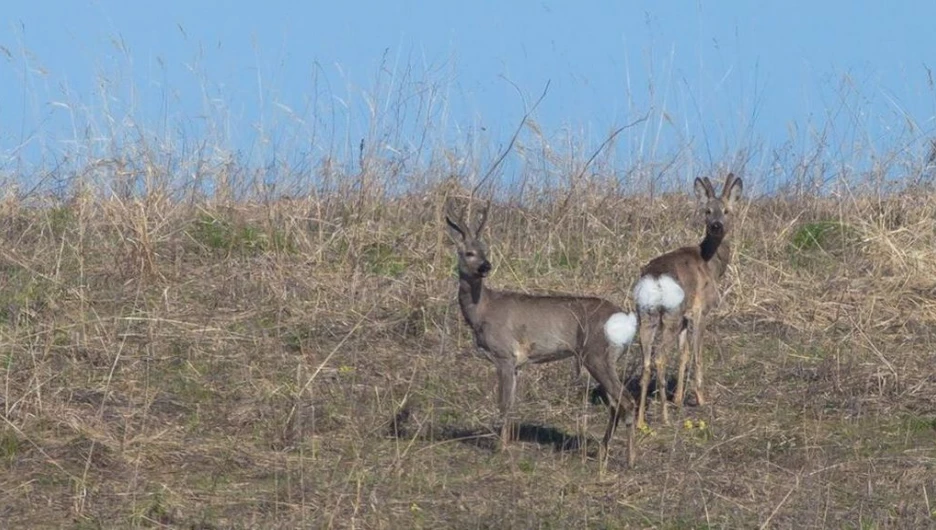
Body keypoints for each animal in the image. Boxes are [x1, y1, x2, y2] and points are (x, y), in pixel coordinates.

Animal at [448, 202, 644, 466]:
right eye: (469, 252)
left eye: (485, 250)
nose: (485, 266)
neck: (483, 309)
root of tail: (626, 319)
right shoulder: (517, 363)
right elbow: (512, 402)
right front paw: (507, 443)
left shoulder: (503, 354)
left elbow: (504, 403)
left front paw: (501, 449)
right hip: (607, 358)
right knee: (615, 403)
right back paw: (602, 451)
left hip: (596, 354)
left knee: (626, 401)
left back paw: (630, 459)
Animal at [632, 171, 744, 426]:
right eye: (707, 211)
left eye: (726, 211)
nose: (716, 225)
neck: (711, 264)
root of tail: (654, 280)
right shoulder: (701, 310)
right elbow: (696, 353)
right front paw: (700, 397)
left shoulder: (685, 317)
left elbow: (683, 354)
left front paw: (678, 398)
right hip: (670, 315)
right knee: (660, 358)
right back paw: (663, 417)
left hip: (646, 315)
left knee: (646, 362)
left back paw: (641, 420)